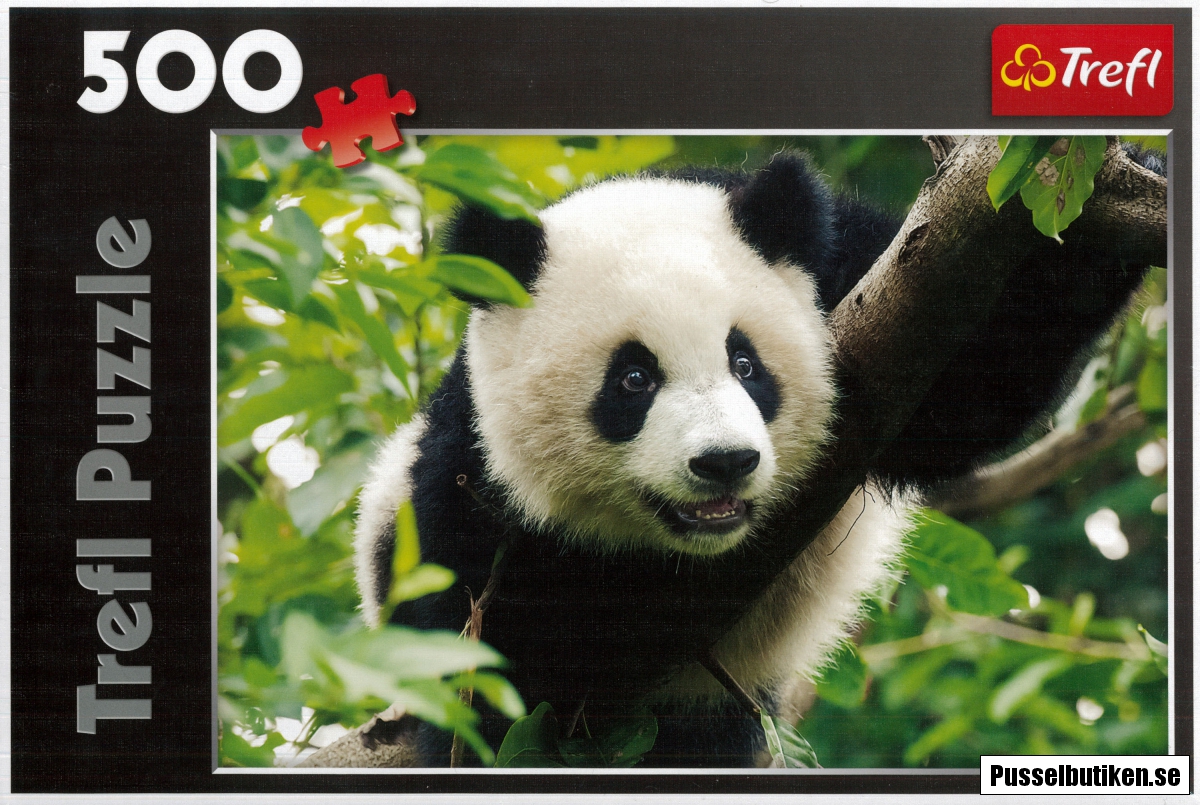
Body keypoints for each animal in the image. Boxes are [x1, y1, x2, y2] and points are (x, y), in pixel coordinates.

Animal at [352, 145, 1163, 767]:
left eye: (746, 364)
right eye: (633, 379)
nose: (724, 462)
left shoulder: (853, 272)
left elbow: (972, 387)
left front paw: (1109, 193)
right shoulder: (464, 490)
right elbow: (505, 677)